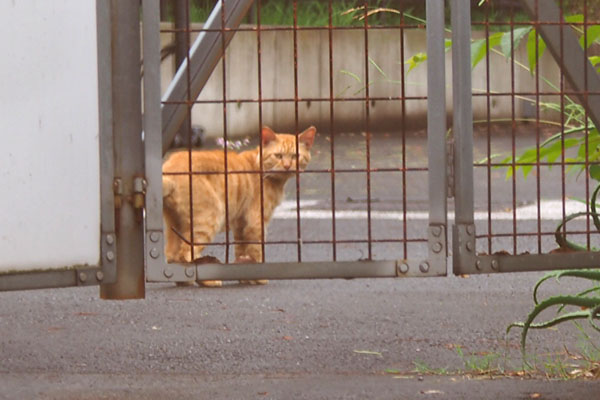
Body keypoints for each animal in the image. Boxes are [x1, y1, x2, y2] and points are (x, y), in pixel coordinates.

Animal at [162, 126, 316, 286]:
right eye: (278, 156)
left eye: (295, 156)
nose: (287, 166)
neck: (261, 168)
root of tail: (169, 169)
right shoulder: (256, 222)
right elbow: (256, 250)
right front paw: (258, 277)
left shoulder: (240, 223)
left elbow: (241, 250)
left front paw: (244, 275)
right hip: (210, 219)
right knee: (185, 254)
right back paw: (208, 281)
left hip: (175, 224)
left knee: (172, 256)